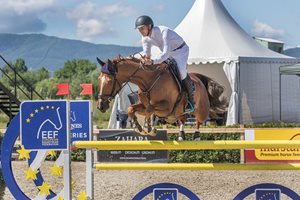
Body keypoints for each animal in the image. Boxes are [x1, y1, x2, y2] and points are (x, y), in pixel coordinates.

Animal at [97, 55, 226, 141]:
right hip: (179, 112)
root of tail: (198, 78)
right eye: (99, 79)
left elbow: (150, 110)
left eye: (109, 81)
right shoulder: (144, 105)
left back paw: (197, 135)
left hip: (201, 109)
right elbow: (132, 109)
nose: (100, 106)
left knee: (199, 119)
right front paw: (139, 127)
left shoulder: (166, 107)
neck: (148, 81)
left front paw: (148, 128)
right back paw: (181, 135)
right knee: (183, 119)